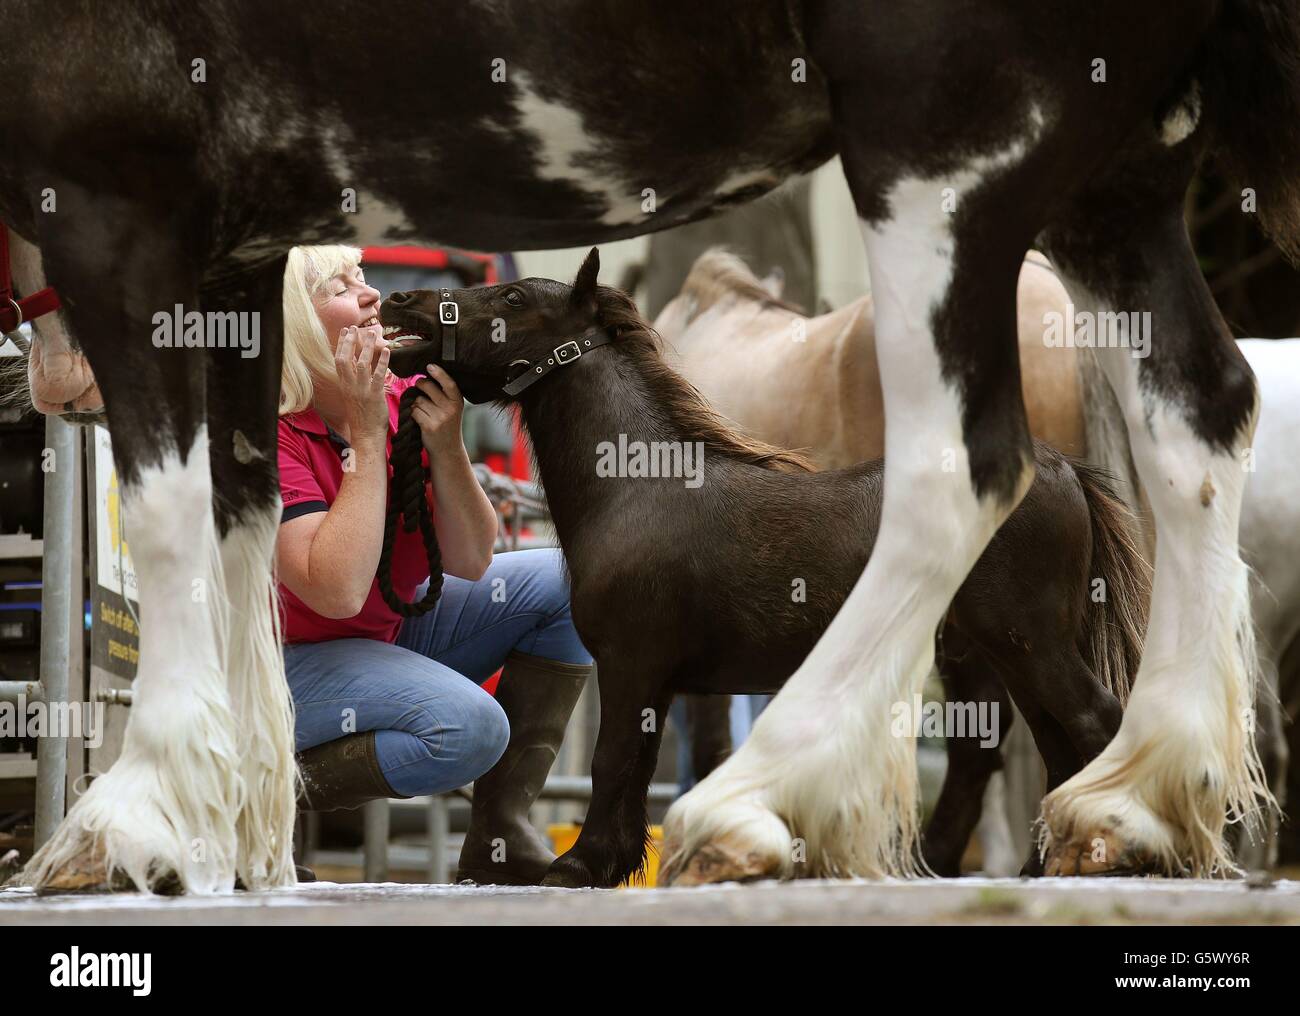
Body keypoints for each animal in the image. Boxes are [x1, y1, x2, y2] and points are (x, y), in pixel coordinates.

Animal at [2, 0, 1300, 893]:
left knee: (1044, 650)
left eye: (507, 303)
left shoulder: (635, 668)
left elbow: (622, 785)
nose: (400, 309)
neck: (651, 491)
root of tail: (1069, 474)